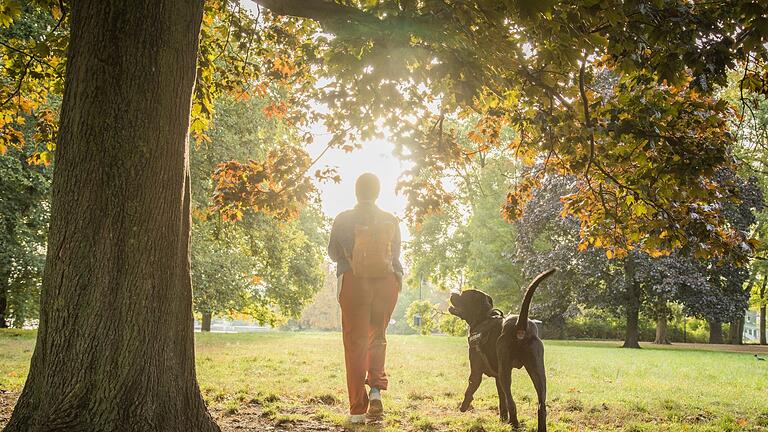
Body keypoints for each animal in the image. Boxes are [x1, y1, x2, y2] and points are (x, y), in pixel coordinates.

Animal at [448, 268, 556, 430]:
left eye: (463, 294)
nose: (452, 293)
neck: (483, 319)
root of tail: (520, 325)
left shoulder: (476, 370)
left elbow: (471, 387)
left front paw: (464, 406)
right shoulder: (498, 377)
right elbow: (501, 399)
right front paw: (503, 418)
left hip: (506, 371)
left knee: (512, 401)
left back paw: (514, 423)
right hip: (537, 372)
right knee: (541, 404)